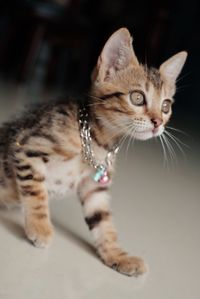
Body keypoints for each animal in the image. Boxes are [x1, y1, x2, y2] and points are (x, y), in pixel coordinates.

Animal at [0, 28, 188, 276]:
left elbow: (103, 222)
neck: (96, 141)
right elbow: (35, 190)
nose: (158, 122)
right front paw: (40, 227)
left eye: (166, 106)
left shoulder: (94, 188)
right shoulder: (28, 146)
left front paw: (117, 255)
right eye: (137, 97)